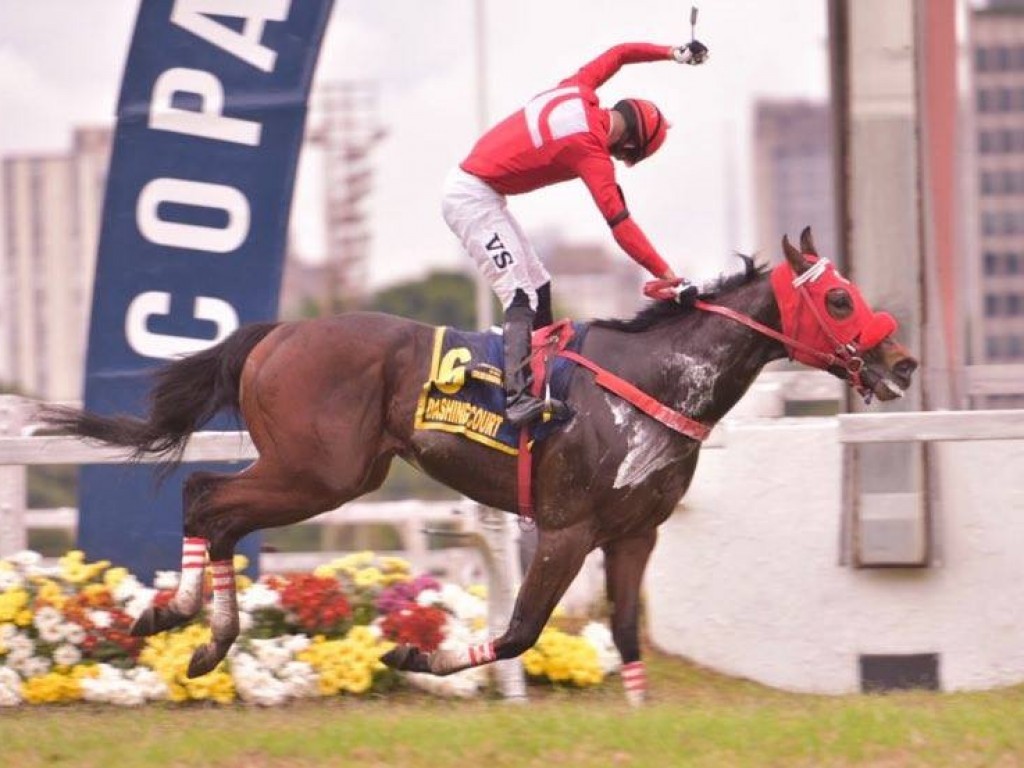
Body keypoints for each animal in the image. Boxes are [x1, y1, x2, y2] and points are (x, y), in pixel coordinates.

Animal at [39, 227, 921, 704]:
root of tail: (278, 333)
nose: (902, 362)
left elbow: (626, 634)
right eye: (839, 299)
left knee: (217, 511)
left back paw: (202, 638)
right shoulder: (567, 528)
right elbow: (522, 630)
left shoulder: (634, 534)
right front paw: (413, 655)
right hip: (319, 474)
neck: (659, 377)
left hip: (327, 476)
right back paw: (178, 616)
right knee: (205, 496)